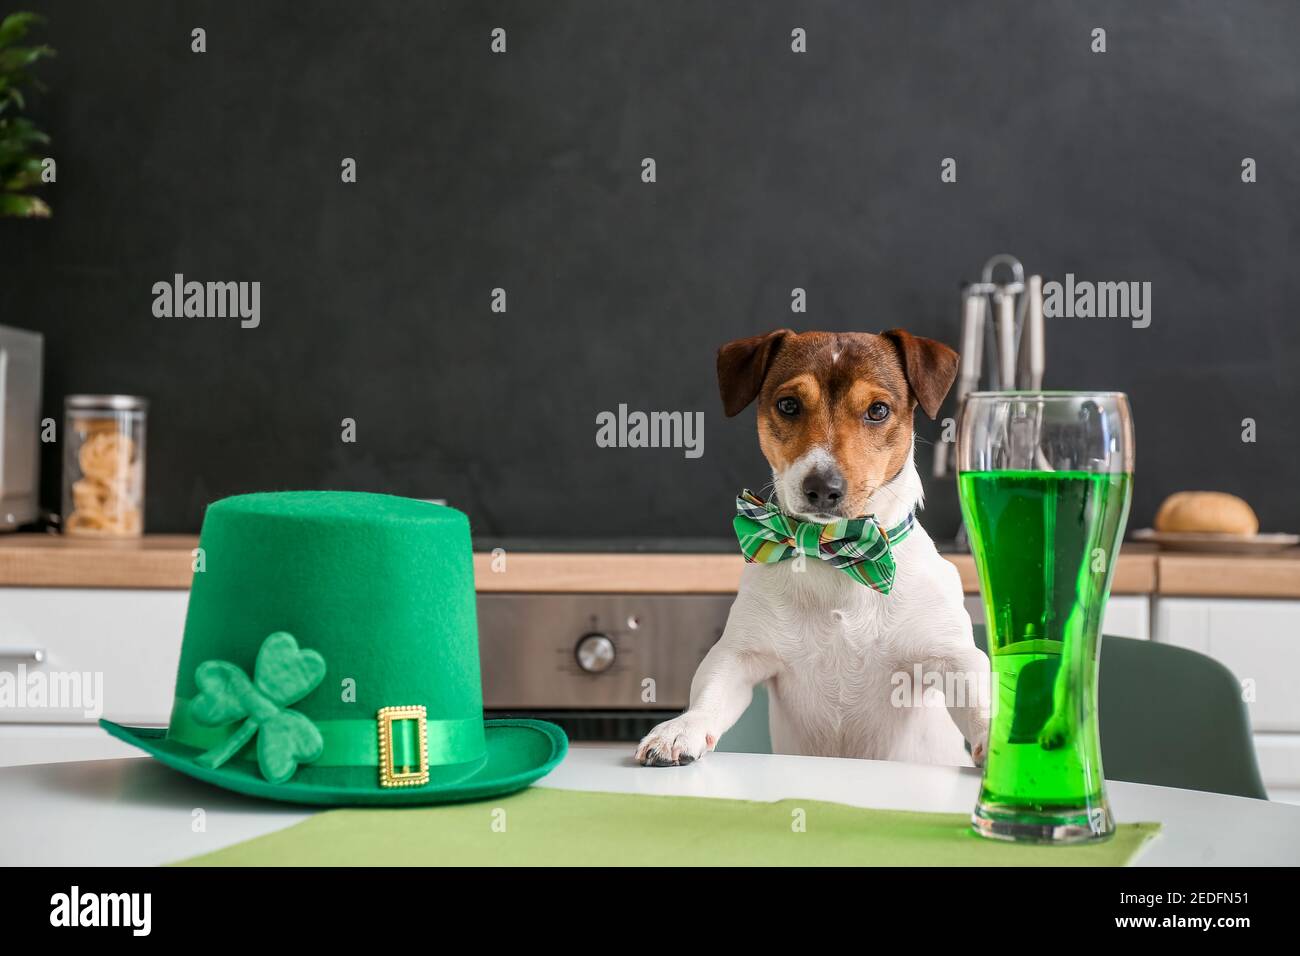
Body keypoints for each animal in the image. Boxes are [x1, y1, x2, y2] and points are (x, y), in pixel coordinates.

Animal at [634, 329, 987, 770]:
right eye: (788, 405)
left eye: (878, 410)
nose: (822, 487)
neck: (838, 553)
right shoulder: (739, 654)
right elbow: (710, 693)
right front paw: (680, 729)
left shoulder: (952, 656)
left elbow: (981, 699)